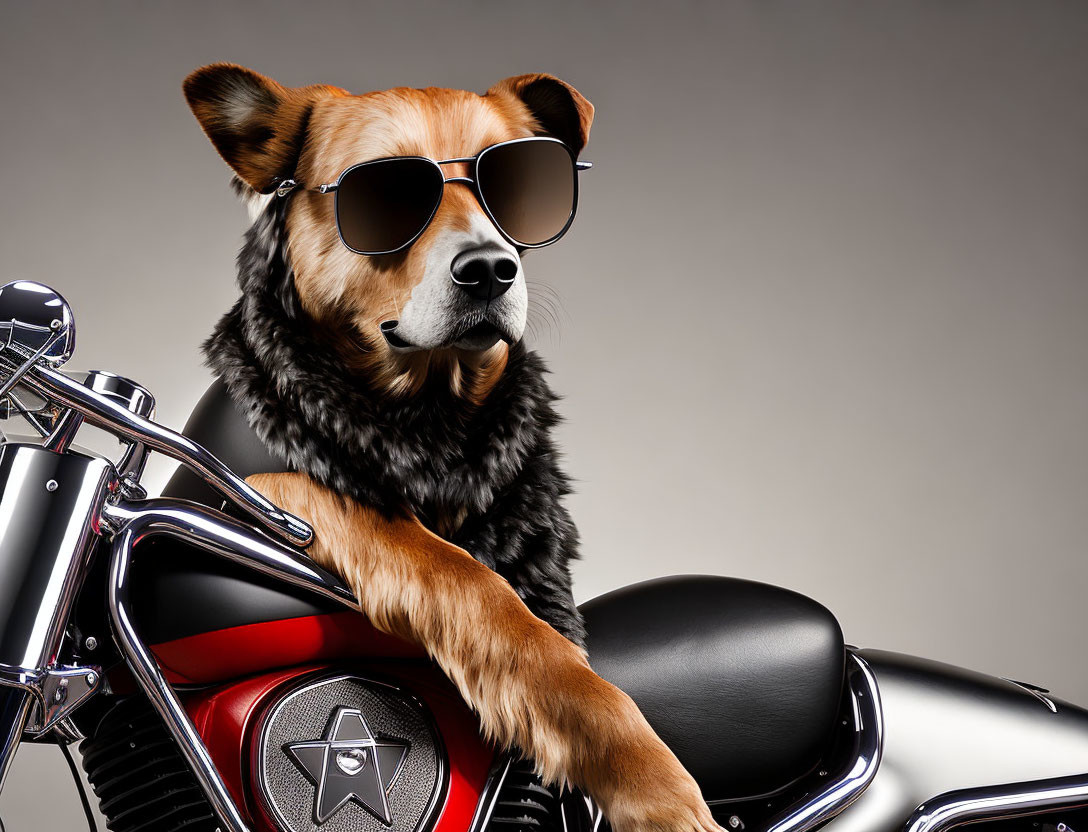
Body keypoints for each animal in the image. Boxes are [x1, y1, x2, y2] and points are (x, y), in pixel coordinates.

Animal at [182, 60, 718, 830]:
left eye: (519, 183)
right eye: (386, 194)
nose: (490, 269)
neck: (434, 423)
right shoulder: (279, 486)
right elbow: (487, 598)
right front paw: (654, 785)